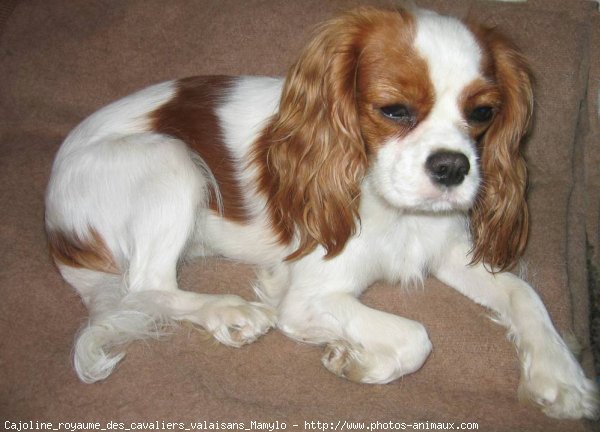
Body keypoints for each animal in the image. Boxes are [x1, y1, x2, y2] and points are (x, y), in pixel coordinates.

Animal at [44, 5, 596, 418]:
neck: (391, 204)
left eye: (482, 113)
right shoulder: (308, 298)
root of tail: (54, 218)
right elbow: (417, 338)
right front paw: (354, 361)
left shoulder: (446, 249)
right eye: (394, 110)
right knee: (147, 284)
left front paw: (560, 375)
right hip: (171, 159)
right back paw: (227, 310)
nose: (452, 167)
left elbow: (525, 294)